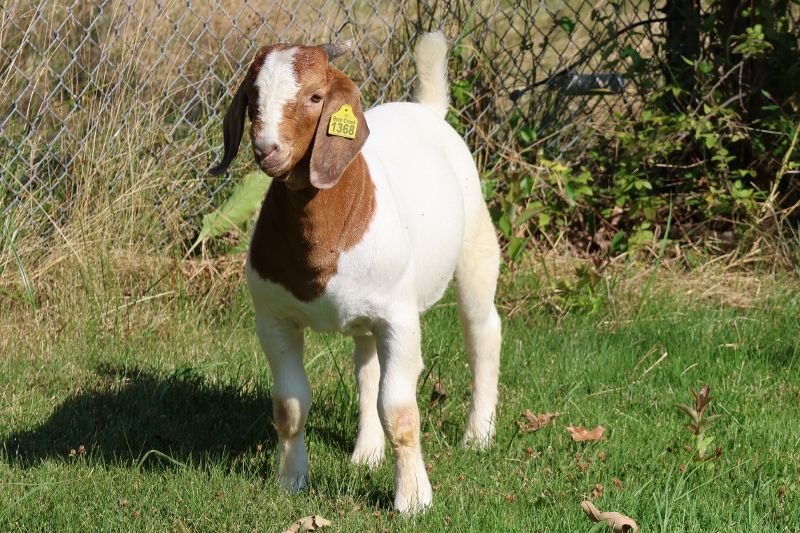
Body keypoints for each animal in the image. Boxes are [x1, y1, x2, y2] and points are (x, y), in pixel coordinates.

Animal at [209, 32, 501, 513]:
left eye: (315, 96)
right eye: (252, 96)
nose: (267, 149)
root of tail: (427, 108)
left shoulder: (399, 319)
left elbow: (399, 410)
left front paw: (413, 498)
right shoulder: (274, 319)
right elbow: (290, 405)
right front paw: (290, 481)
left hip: (476, 241)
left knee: (483, 331)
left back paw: (478, 435)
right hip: (366, 311)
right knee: (367, 367)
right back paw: (366, 452)